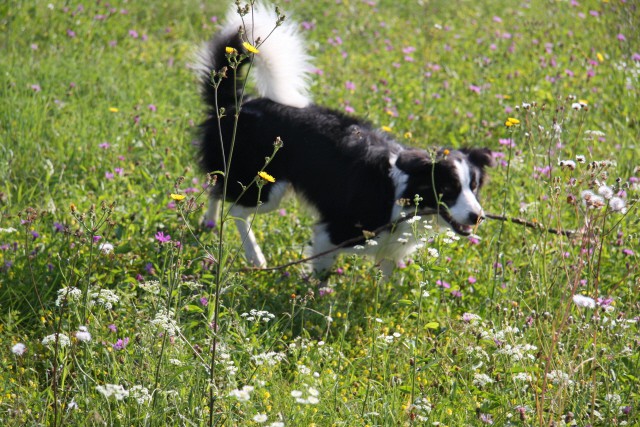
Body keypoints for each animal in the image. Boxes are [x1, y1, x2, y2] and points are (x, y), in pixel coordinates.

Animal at [195, 5, 496, 278]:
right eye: (447, 188)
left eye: (474, 187)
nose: (478, 217)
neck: (399, 193)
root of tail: (235, 105)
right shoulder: (334, 232)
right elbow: (320, 274)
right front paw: (310, 295)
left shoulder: (391, 248)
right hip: (265, 185)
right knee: (235, 208)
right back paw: (255, 257)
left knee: (216, 189)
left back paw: (208, 224)